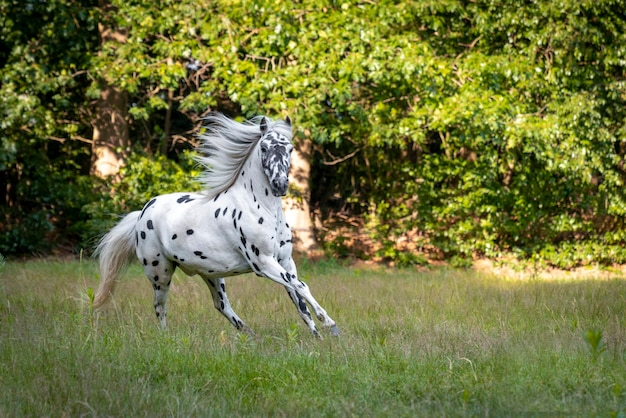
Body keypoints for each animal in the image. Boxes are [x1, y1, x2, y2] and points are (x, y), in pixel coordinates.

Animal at [92, 112, 338, 338]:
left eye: (290, 148)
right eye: (264, 148)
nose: (279, 185)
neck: (261, 207)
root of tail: (142, 213)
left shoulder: (285, 261)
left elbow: (300, 301)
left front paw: (319, 337)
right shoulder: (263, 263)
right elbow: (302, 286)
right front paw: (329, 323)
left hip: (210, 273)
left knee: (221, 305)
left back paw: (250, 335)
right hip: (159, 273)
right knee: (159, 306)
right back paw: (166, 338)